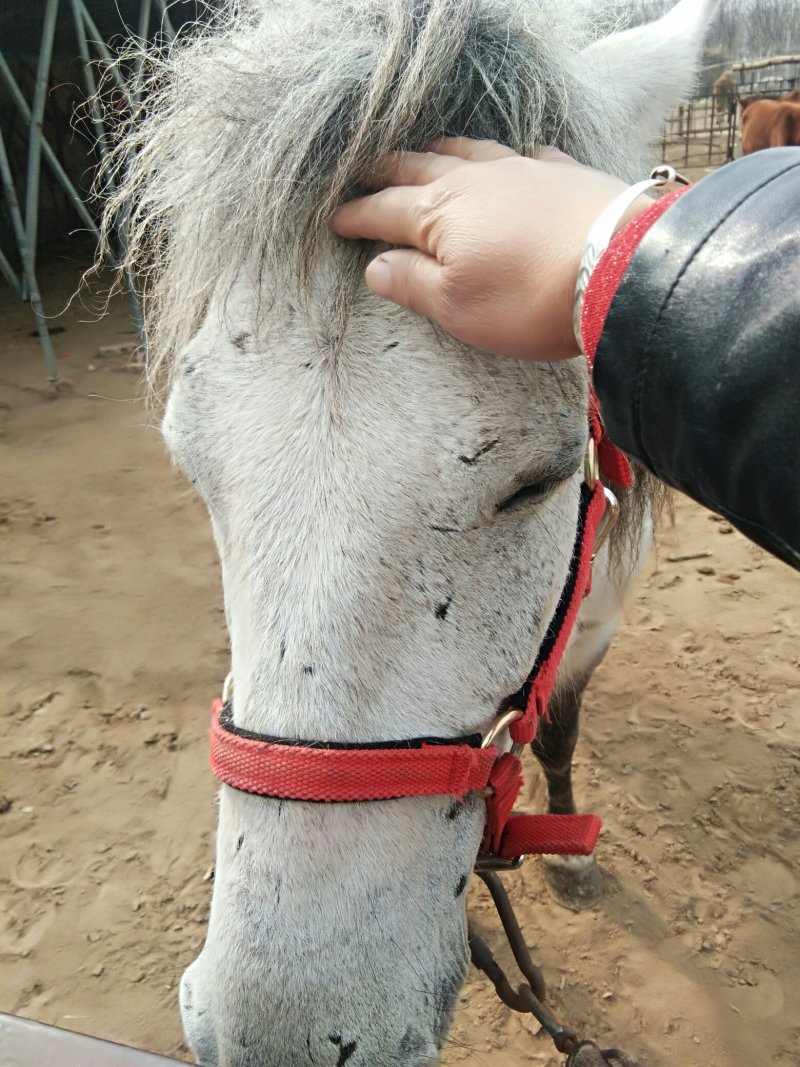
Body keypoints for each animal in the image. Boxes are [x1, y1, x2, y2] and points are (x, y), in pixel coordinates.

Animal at [105, 0, 718, 1062]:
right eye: (193, 465)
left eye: (539, 479)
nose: (288, 1036)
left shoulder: (599, 621)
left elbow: (561, 733)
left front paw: (570, 860)